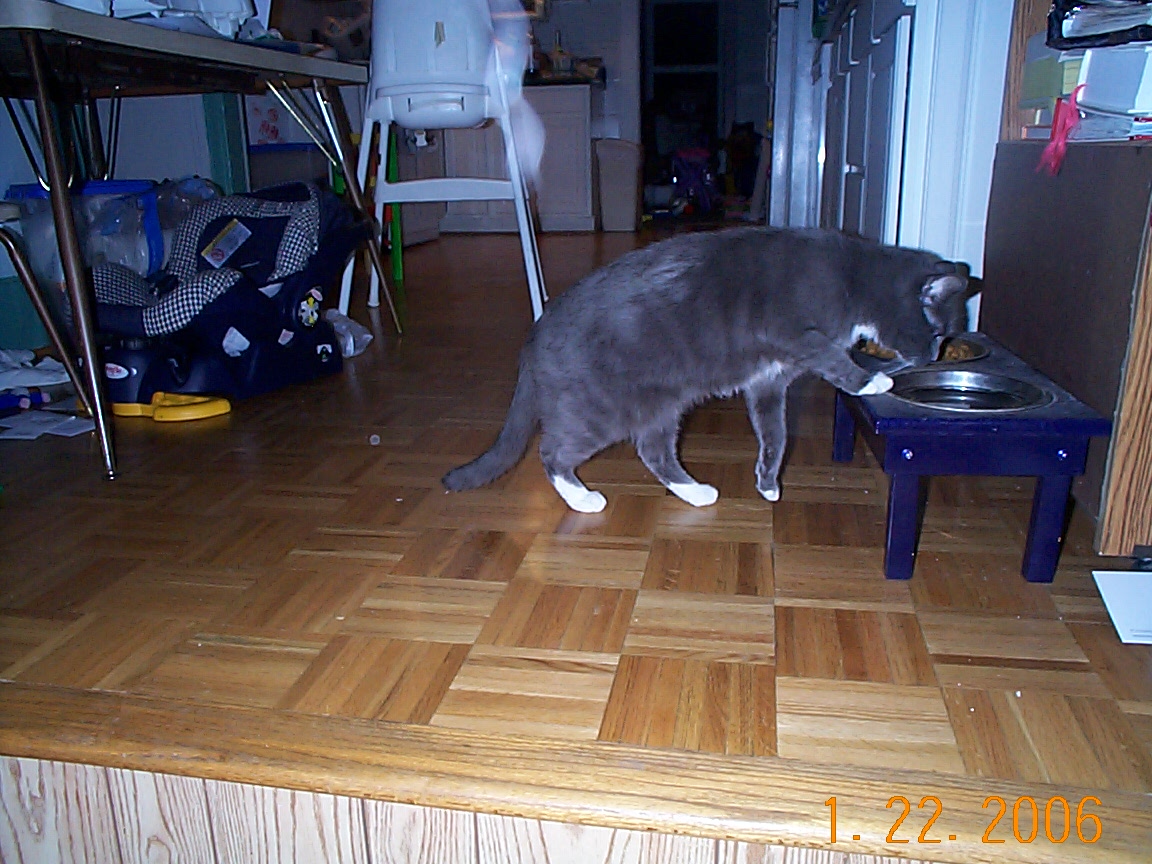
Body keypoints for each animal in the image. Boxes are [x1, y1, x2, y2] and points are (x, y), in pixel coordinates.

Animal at [443, 226, 969, 513]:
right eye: (939, 332)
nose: (934, 357)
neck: (852, 274)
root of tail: (532, 338)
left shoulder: (768, 383)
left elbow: (775, 434)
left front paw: (768, 481)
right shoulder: (791, 332)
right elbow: (831, 357)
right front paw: (872, 379)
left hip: (661, 406)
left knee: (653, 451)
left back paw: (696, 493)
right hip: (601, 410)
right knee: (553, 453)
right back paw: (586, 499)